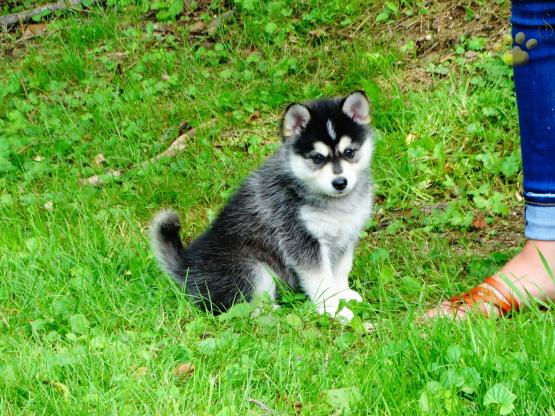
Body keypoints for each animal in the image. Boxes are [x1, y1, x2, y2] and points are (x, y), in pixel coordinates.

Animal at [152, 90, 376, 318]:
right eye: (317, 158)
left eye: (349, 152)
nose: (340, 183)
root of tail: (187, 268)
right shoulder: (301, 240)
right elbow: (321, 280)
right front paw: (334, 310)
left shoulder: (346, 236)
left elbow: (340, 271)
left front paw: (344, 295)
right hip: (252, 268)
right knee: (248, 311)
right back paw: (277, 314)